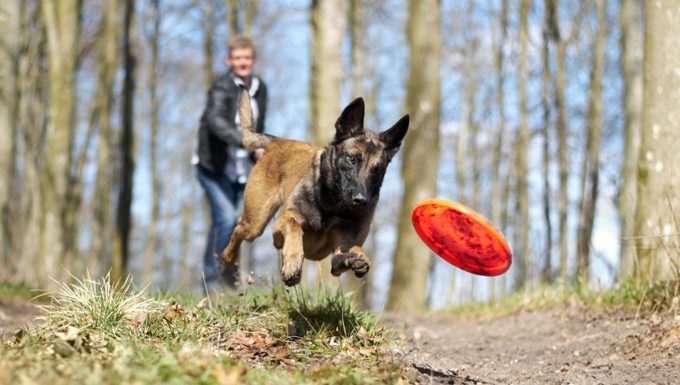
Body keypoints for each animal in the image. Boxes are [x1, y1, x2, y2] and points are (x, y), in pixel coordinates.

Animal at [220, 91, 406, 284]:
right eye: (352, 159)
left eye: (377, 170)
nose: (361, 200)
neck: (332, 207)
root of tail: (277, 141)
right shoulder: (281, 224)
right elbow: (294, 225)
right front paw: (292, 262)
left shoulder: (341, 250)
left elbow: (347, 253)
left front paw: (356, 258)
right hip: (256, 222)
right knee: (239, 228)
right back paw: (227, 258)